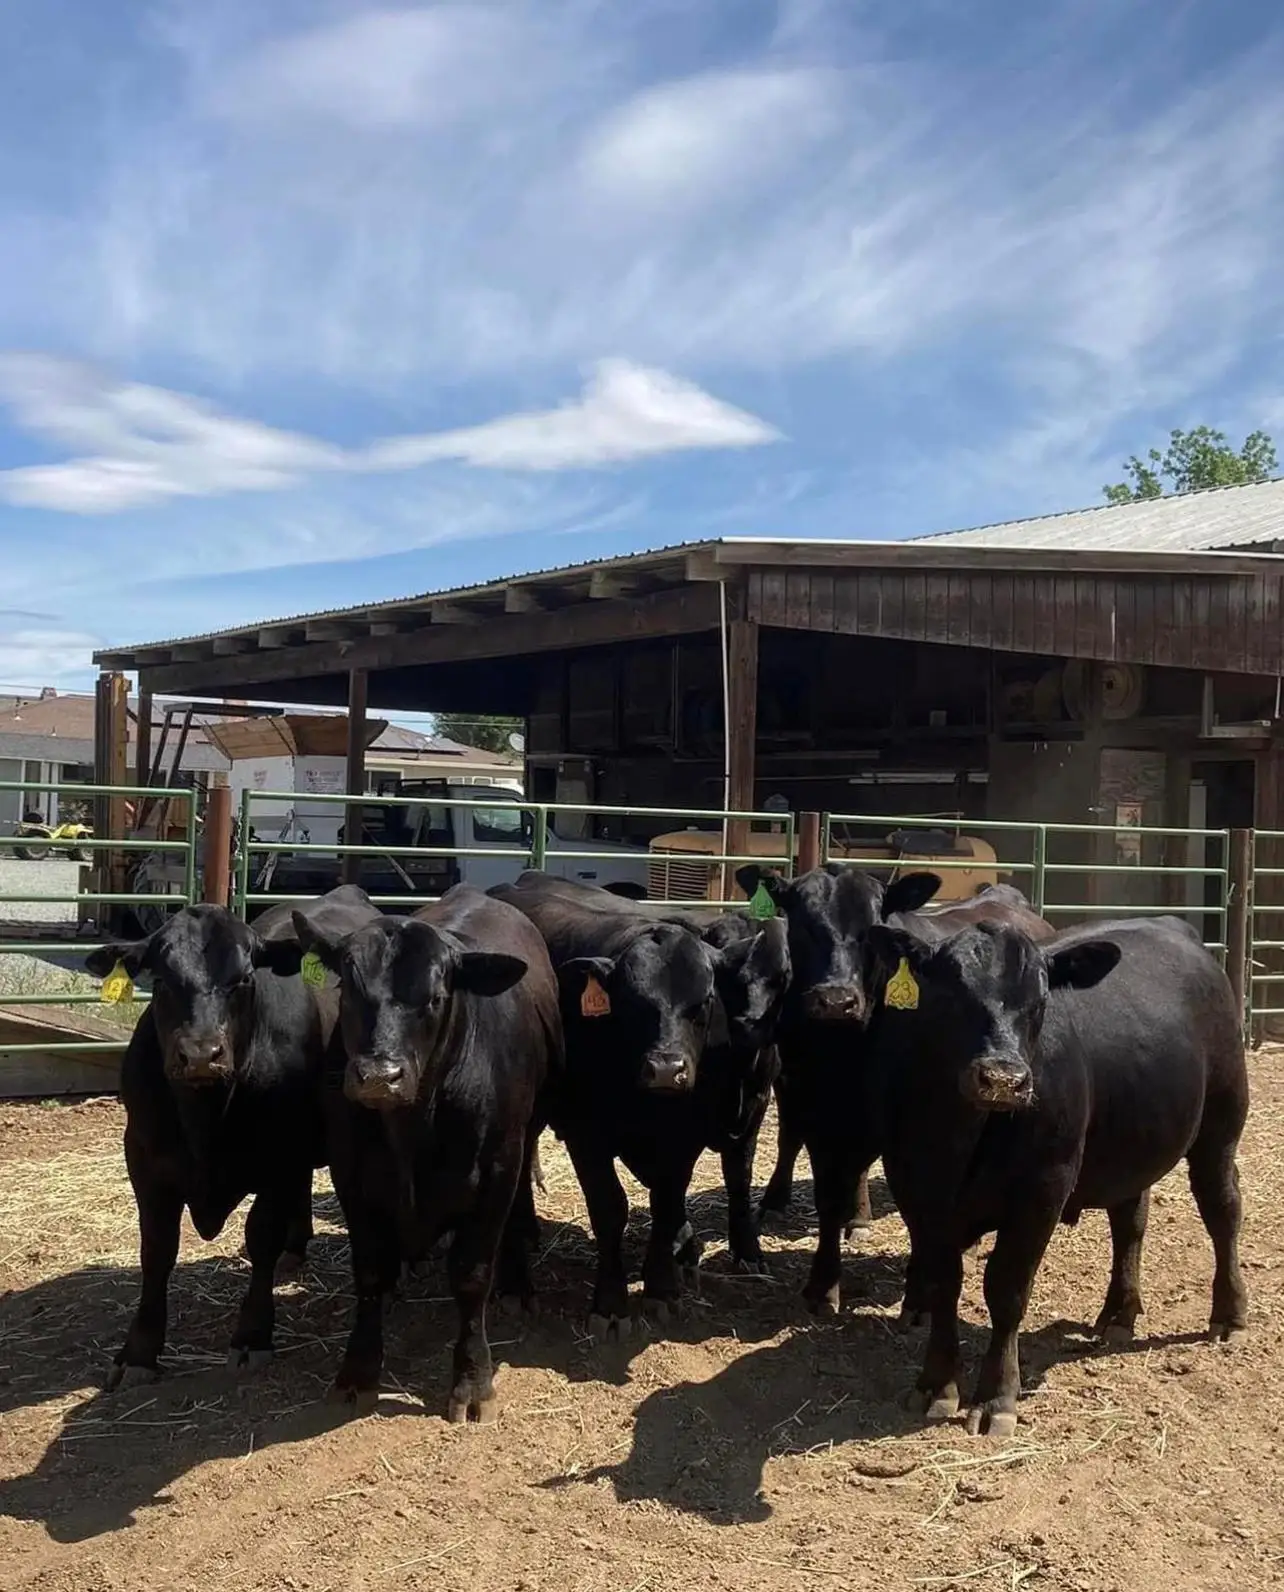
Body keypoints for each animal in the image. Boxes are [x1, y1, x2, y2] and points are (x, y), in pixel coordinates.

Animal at [84, 901, 341, 1389]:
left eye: (243, 979)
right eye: (161, 979)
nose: (201, 1054)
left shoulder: (280, 1158)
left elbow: (261, 1238)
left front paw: (253, 1336)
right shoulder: (145, 1161)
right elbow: (157, 1250)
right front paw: (139, 1351)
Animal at [289, 886, 558, 1423]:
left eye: (435, 998)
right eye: (347, 990)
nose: (379, 1076)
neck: (410, 1130)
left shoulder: (496, 1169)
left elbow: (472, 1275)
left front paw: (473, 1383)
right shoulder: (352, 1174)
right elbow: (369, 1272)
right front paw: (357, 1372)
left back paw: (518, 1282)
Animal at [492, 873, 776, 1335]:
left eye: (703, 1002)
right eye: (631, 1002)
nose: (665, 1069)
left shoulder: (689, 1136)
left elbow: (669, 1201)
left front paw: (662, 1288)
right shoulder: (587, 1134)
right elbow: (610, 1208)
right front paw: (611, 1303)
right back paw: (515, 1282)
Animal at [864, 914, 1249, 1438]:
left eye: (1041, 1003)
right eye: (949, 994)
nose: (1003, 1080)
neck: (969, 1133)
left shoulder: (1042, 1190)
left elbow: (1006, 1288)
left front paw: (996, 1397)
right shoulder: (917, 1189)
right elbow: (944, 1281)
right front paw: (936, 1385)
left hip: (1220, 1126)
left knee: (1222, 1210)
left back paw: (1229, 1314)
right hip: (1130, 1148)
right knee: (1130, 1223)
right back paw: (1118, 1312)